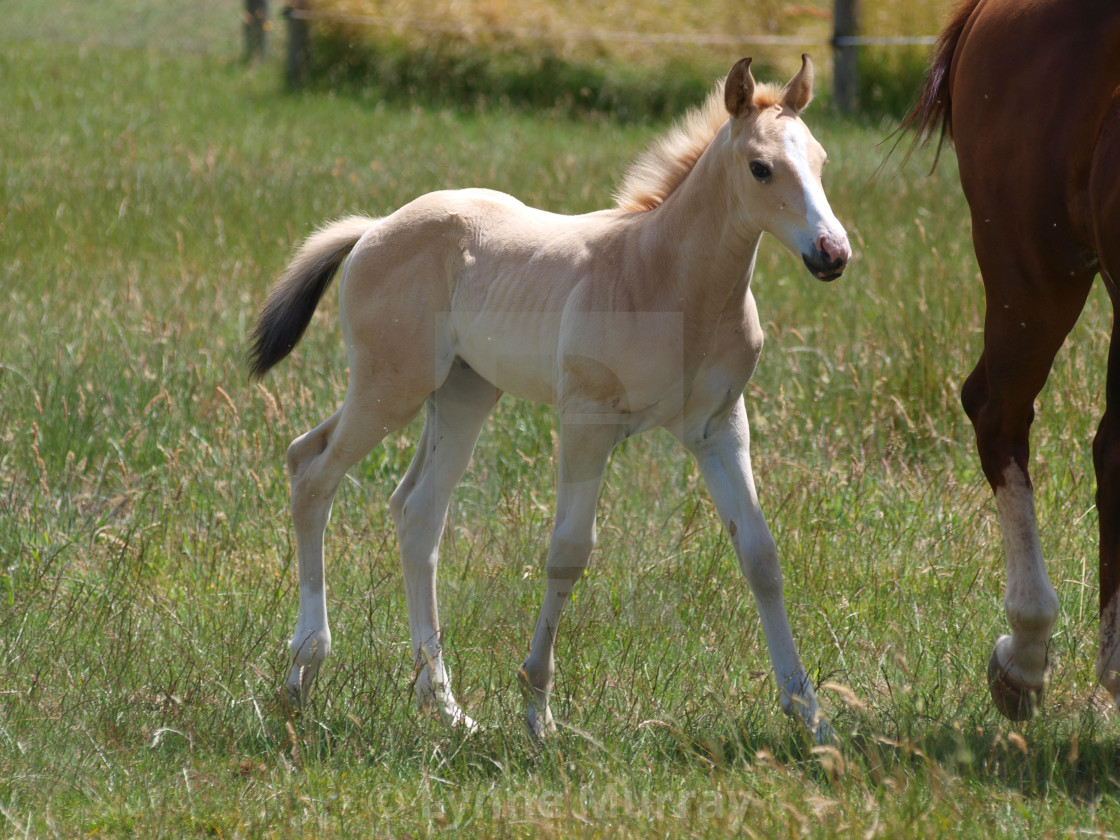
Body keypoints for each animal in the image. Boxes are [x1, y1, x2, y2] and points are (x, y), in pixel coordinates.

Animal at [252, 59, 846, 739]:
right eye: (760, 167)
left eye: (821, 161)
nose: (832, 253)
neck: (666, 279)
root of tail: (373, 227)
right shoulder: (586, 421)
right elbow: (568, 551)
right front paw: (537, 708)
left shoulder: (719, 426)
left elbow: (760, 554)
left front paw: (810, 713)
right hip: (390, 386)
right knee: (312, 469)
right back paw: (304, 670)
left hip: (462, 393)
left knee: (417, 513)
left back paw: (446, 706)